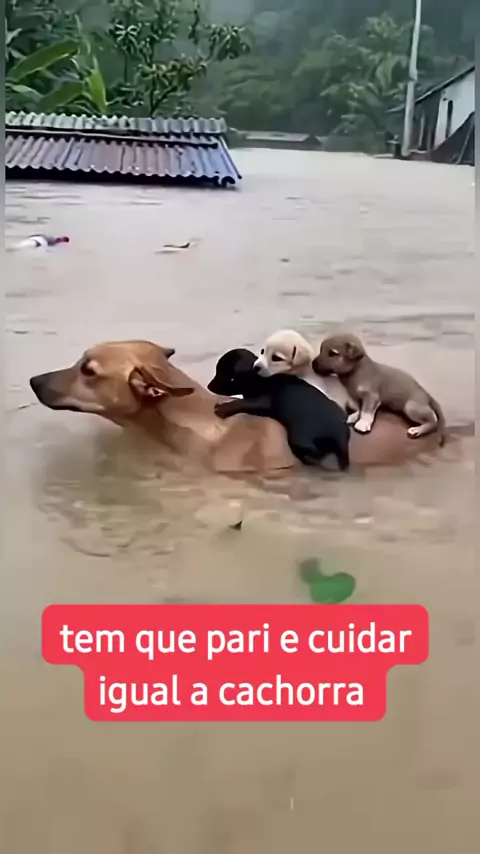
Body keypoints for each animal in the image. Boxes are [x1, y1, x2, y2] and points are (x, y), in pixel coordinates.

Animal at [208, 348, 350, 470]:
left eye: (227, 376)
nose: (209, 386)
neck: (256, 377)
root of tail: (339, 434)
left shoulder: (264, 400)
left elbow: (244, 402)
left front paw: (223, 408)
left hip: (299, 438)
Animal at [313, 333, 446, 444]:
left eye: (332, 353)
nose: (313, 364)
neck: (355, 371)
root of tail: (427, 394)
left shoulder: (372, 397)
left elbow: (366, 411)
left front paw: (363, 423)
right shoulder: (354, 396)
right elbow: (359, 408)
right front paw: (354, 416)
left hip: (411, 407)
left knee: (433, 421)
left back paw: (417, 430)